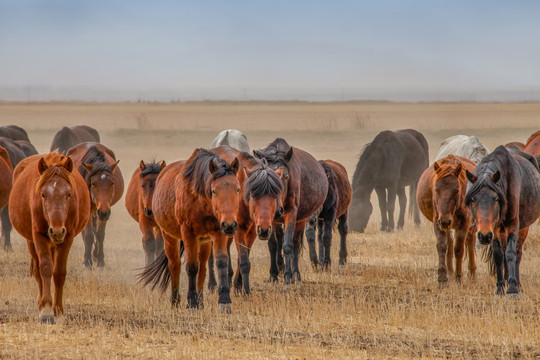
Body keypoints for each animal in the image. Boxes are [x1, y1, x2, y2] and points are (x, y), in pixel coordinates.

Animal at [8, 153, 90, 324]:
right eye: (43, 194)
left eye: (68, 194)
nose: (56, 231)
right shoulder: (39, 236)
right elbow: (45, 268)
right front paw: (46, 310)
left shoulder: (67, 237)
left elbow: (59, 272)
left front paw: (58, 310)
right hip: (32, 242)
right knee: (38, 271)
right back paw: (41, 303)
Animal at [139, 148, 240, 312]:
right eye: (214, 191)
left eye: (237, 189)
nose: (230, 225)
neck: (202, 200)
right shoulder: (188, 234)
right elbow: (191, 267)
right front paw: (191, 303)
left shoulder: (219, 233)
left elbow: (221, 263)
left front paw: (224, 301)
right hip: (169, 237)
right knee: (175, 265)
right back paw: (175, 300)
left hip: (204, 242)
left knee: (203, 268)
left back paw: (201, 301)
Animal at [254, 138, 330, 284]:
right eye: (266, 176)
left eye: (285, 177)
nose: (277, 211)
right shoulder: (271, 220)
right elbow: (273, 245)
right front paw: (273, 275)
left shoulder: (291, 213)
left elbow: (288, 245)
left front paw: (288, 277)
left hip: (301, 219)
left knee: (295, 244)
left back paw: (296, 275)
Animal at [418, 155, 476, 286]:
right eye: (436, 189)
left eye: (456, 190)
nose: (445, 220)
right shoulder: (438, 222)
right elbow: (442, 246)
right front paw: (442, 278)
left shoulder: (465, 223)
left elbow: (459, 249)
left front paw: (459, 277)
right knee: (450, 241)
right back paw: (450, 271)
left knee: (470, 242)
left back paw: (472, 273)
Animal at [464, 145, 540, 296]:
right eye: (473, 199)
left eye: (496, 198)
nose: (484, 236)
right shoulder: (494, 229)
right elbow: (499, 256)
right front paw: (500, 287)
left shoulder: (512, 224)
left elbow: (511, 254)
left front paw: (512, 288)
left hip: (523, 227)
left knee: (517, 253)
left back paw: (517, 284)